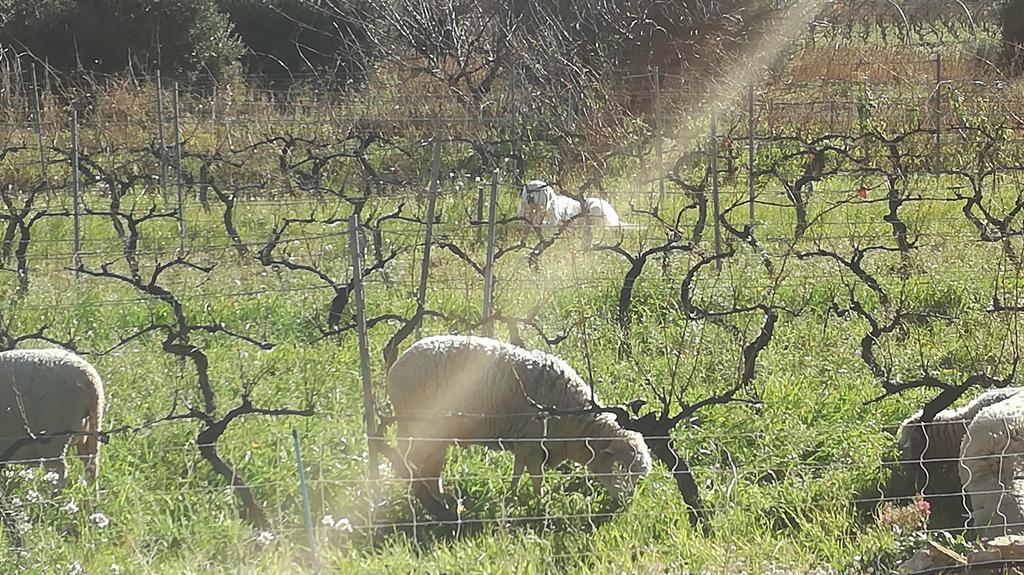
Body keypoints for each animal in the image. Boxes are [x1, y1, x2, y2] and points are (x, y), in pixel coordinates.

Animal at [387, 333, 651, 517]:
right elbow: (535, 477)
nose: (627, 505)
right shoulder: (533, 442)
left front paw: (513, 496)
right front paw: (540, 502)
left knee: (427, 466)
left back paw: (438, 500)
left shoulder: (524, 442)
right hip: (425, 427)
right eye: (621, 467)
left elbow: (517, 470)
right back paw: (432, 502)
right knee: (418, 465)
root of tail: (395, 370)